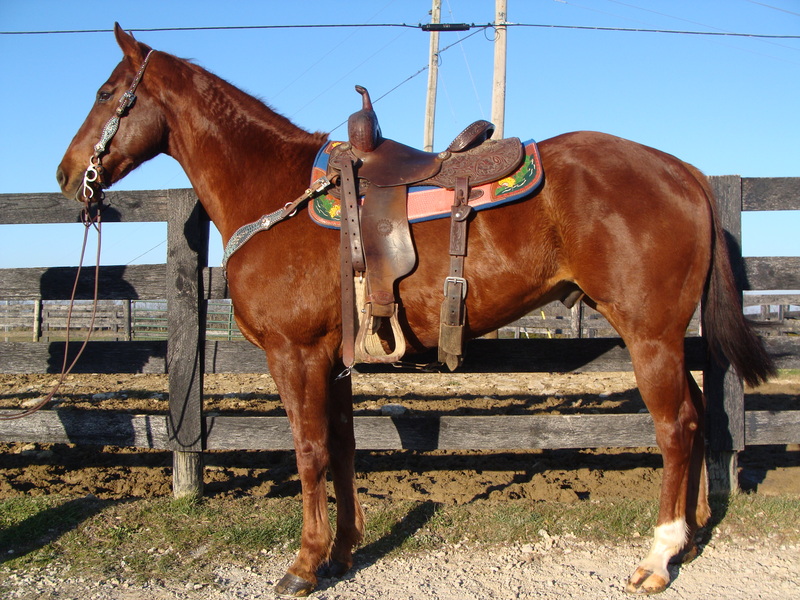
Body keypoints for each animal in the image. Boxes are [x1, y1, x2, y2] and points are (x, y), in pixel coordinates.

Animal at [57, 25, 774, 596]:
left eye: (104, 93)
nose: (68, 176)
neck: (277, 194)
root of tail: (681, 170)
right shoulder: (333, 359)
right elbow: (343, 447)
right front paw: (343, 552)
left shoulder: (295, 354)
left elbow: (309, 451)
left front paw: (304, 564)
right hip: (666, 337)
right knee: (697, 414)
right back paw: (694, 529)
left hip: (649, 334)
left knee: (676, 425)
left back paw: (658, 554)